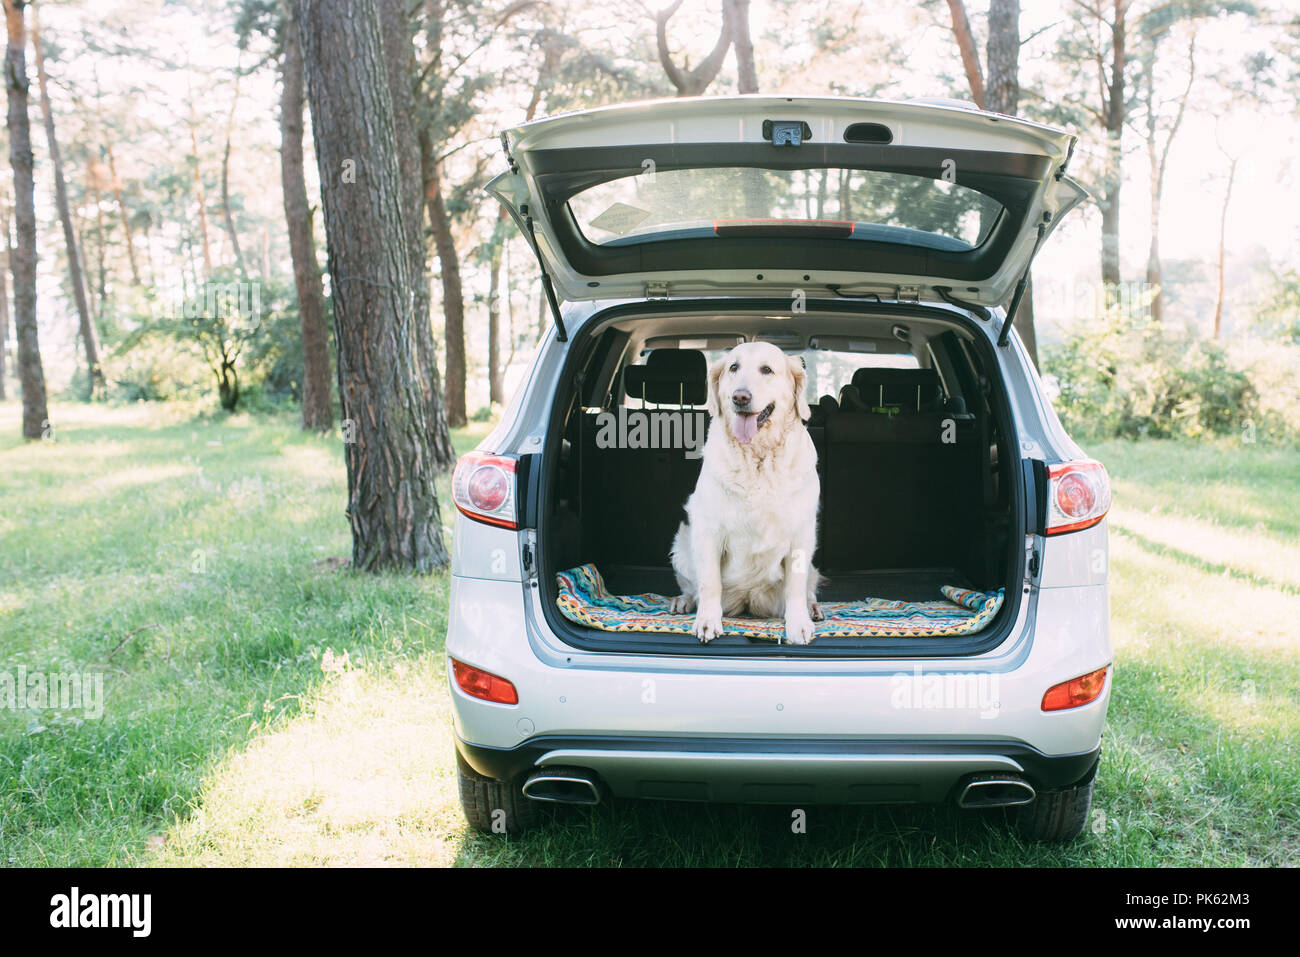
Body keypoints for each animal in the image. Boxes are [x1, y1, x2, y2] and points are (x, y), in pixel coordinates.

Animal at [670, 340, 821, 647]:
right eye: (733, 367)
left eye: (767, 369)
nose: (740, 397)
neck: (758, 458)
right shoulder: (707, 529)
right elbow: (709, 583)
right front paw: (707, 621)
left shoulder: (802, 533)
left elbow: (795, 587)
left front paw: (798, 624)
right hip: (682, 545)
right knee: (693, 586)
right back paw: (684, 601)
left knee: (808, 587)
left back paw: (813, 608)